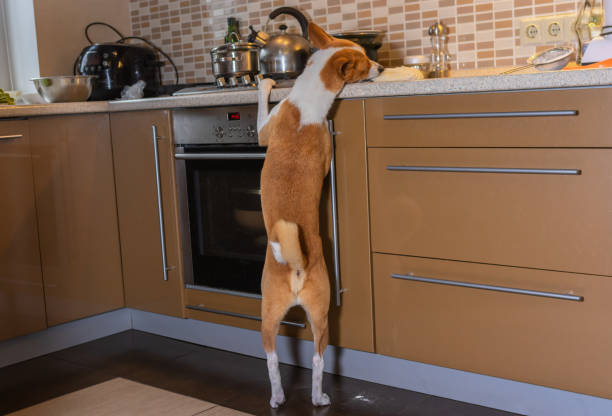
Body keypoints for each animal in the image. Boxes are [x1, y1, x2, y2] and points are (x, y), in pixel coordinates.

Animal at [255, 21, 380, 408]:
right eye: (365, 62)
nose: (382, 68)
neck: (308, 98)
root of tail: (296, 265)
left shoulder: (263, 133)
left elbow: (261, 110)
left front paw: (264, 83)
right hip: (303, 316)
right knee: (301, 359)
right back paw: (300, 397)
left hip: (296, 314)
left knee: (296, 359)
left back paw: (300, 397)